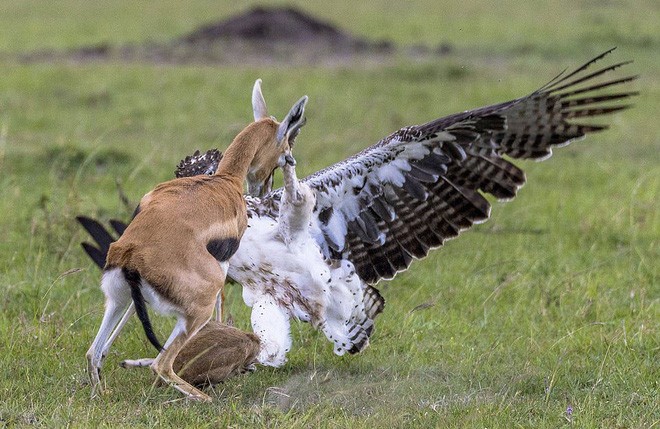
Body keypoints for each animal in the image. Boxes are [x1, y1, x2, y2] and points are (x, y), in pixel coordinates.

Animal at [85, 79, 310, 402]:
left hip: (118, 297)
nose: (265, 188)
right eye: (287, 152)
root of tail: (130, 255)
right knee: (161, 364)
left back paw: (101, 391)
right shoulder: (224, 265)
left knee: (94, 351)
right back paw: (205, 398)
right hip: (194, 312)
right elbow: (222, 301)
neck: (224, 180)